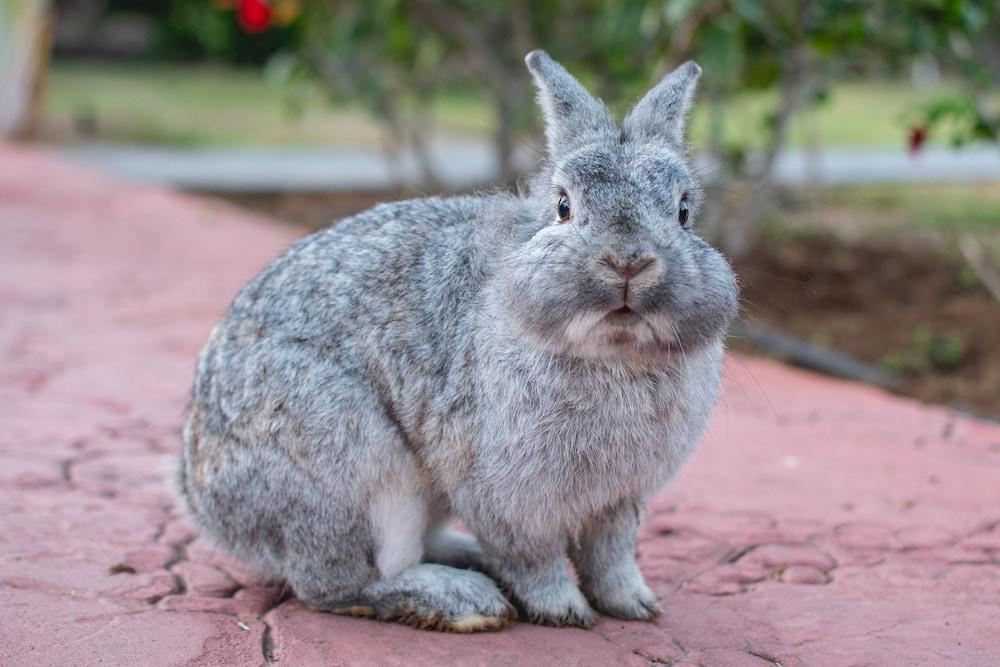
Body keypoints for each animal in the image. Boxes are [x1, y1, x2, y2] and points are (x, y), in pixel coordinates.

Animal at [178, 49, 736, 636]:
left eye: (683, 212)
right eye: (563, 206)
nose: (628, 261)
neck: (615, 353)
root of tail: (204, 504)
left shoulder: (620, 502)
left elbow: (611, 558)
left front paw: (635, 605)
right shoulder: (504, 497)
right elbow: (535, 560)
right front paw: (564, 611)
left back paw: (468, 563)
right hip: (354, 470)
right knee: (338, 585)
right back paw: (465, 600)